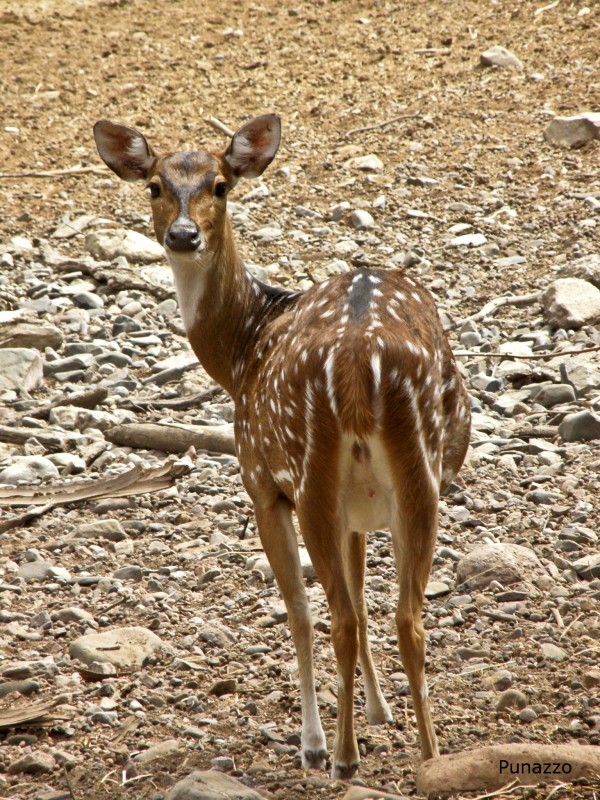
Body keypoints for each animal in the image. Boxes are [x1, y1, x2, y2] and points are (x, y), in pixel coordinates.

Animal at [94, 115, 472, 780]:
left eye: (220, 185)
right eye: (155, 186)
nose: (184, 234)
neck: (243, 349)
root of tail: (358, 363)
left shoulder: (262, 482)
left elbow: (300, 610)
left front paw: (314, 740)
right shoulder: (359, 511)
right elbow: (364, 600)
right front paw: (379, 713)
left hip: (309, 463)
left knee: (338, 617)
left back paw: (342, 758)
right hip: (421, 473)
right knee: (407, 617)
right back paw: (432, 760)